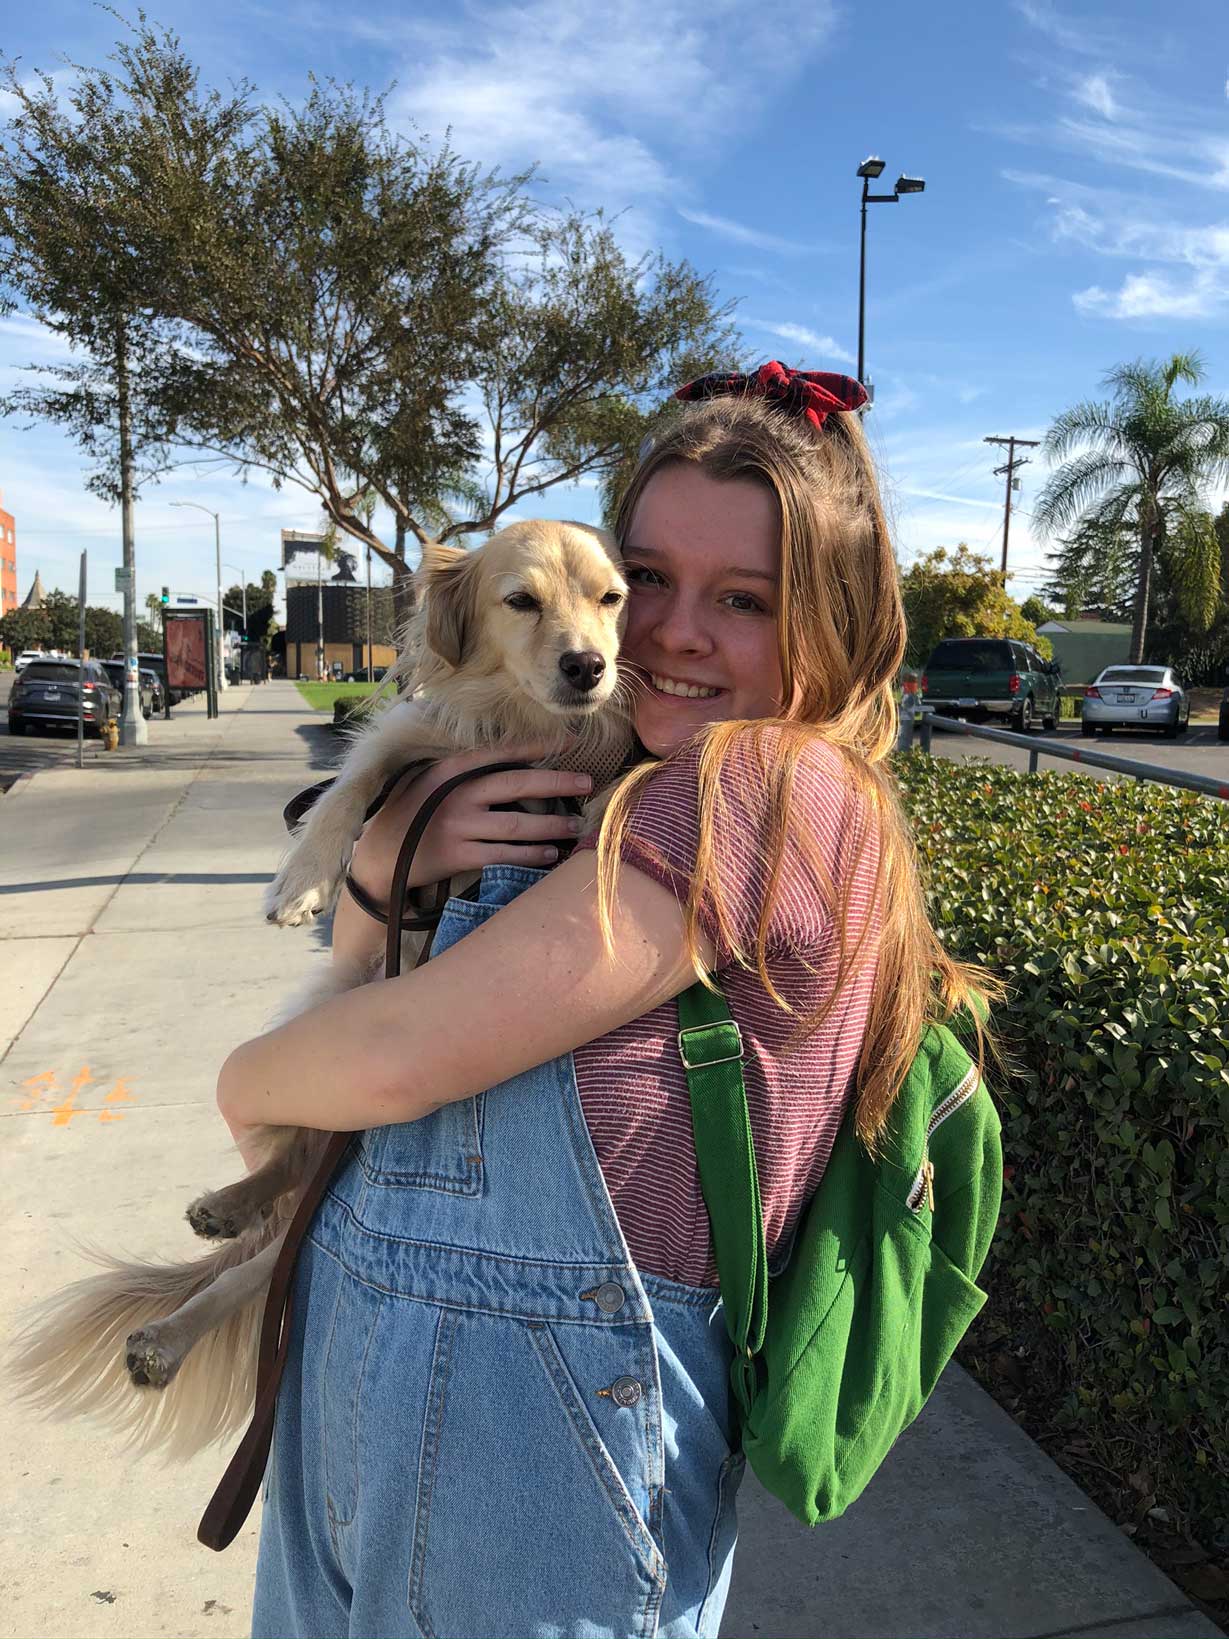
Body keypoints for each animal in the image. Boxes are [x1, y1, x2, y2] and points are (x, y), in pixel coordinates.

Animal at [10, 520, 633, 1457]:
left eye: (611, 599)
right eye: (521, 600)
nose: (588, 667)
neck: (516, 721)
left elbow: (605, 802)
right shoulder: (412, 736)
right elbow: (349, 787)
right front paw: (302, 882)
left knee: (277, 1252)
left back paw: (171, 1331)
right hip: (336, 1007)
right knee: (292, 1165)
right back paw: (221, 1217)